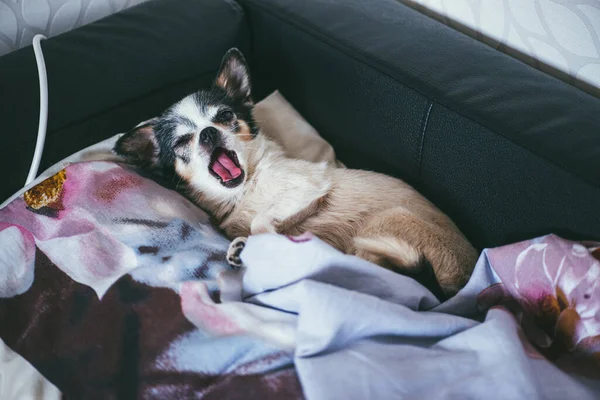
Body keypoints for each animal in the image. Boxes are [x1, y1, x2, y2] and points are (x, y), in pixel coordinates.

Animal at [113, 48, 478, 298]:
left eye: (225, 116)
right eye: (182, 141)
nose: (208, 133)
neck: (246, 189)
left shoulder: (307, 188)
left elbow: (262, 221)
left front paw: (266, 240)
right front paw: (249, 245)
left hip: (388, 222)